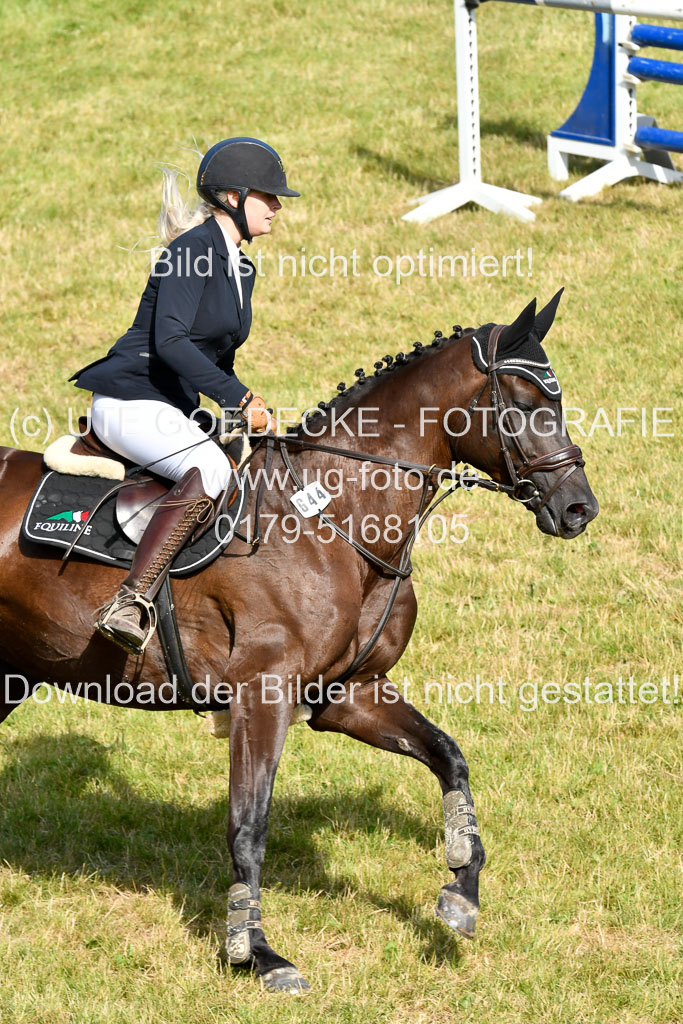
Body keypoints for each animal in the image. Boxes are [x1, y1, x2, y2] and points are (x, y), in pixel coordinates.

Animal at [0, 294, 598, 993]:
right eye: (527, 405)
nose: (579, 508)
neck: (335, 515)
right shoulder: (262, 694)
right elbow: (248, 825)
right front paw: (255, 953)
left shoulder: (349, 693)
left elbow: (449, 757)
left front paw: (461, 891)